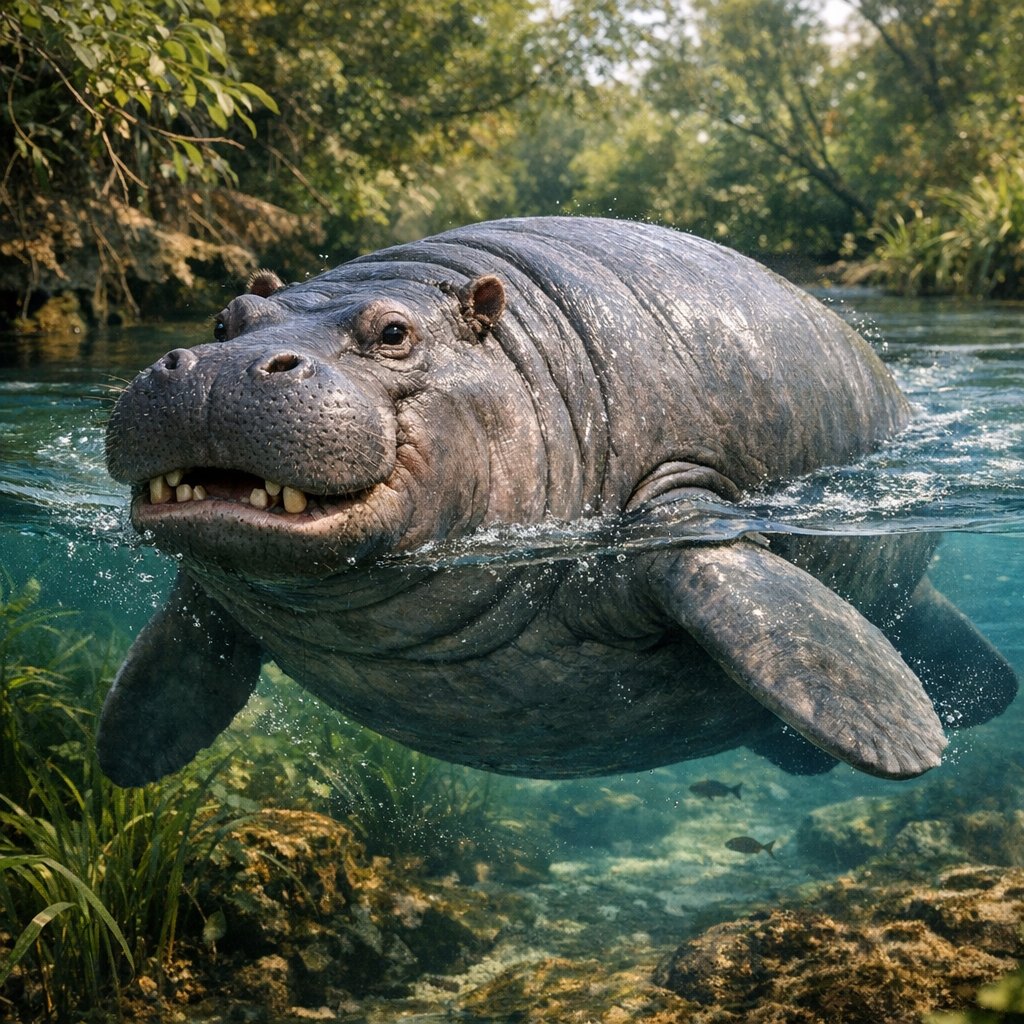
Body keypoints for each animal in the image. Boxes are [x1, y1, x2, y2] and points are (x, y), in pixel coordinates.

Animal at [98, 217, 1018, 788]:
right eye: (228, 316)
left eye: (394, 333)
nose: (211, 368)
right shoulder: (206, 593)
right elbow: (161, 685)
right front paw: (124, 759)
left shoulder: (681, 513)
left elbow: (797, 633)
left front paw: (904, 744)